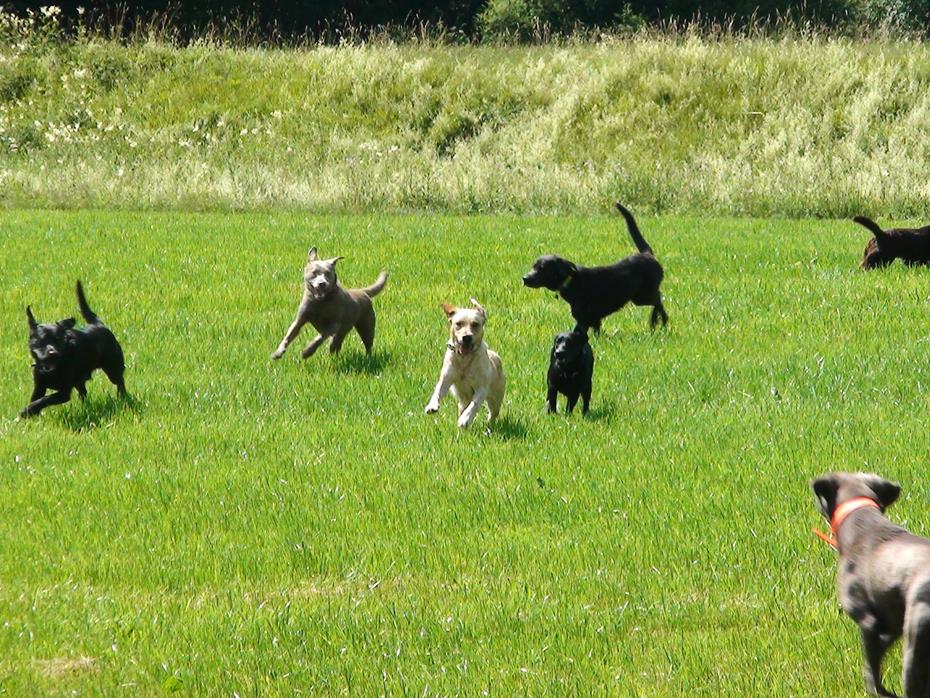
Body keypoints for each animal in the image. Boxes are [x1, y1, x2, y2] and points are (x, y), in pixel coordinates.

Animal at [21, 281, 126, 418]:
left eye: (59, 340)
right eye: (42, 340)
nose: (53, 352)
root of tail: (98, 324)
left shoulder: (63, 393)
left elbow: (45, 399)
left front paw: (27, 410)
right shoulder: (39, 387)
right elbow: (36, 399)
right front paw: (32, 413)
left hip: (112, 369)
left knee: (119, 381)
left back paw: (123, 397)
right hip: (79, 380)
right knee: (84, 392)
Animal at [424, 299, 505, 430]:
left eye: (475, 324)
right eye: (458, 323)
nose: (466, 337)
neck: (464, 359)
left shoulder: (481, 388)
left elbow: (474, 404)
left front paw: (465, 420)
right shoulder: (446, 378)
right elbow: (438, 391)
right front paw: (432, 406)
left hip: (496, 398)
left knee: (492, 413)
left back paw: (488, 427)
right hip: (462, 401)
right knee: (463, 407)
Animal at [522, 202, 667, 334]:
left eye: (542, 268)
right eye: (533, 266)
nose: (524, 278)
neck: (572, 281)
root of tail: (647, 254)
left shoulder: (585, 320)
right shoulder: (590, 320)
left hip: (642, 296)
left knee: (658, 300)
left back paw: (655, 320)